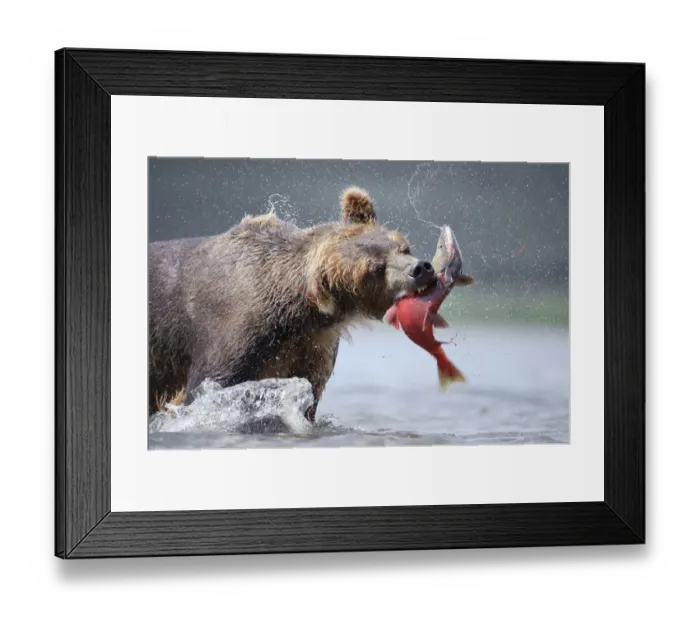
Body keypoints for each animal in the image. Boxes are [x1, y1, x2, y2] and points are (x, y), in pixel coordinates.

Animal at [148, 187, 437, 421]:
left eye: (402, 247)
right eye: (375, 269)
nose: (420, 269)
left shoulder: (311, 346)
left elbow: (309, 394)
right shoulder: (229, 331)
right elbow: (207, 387)